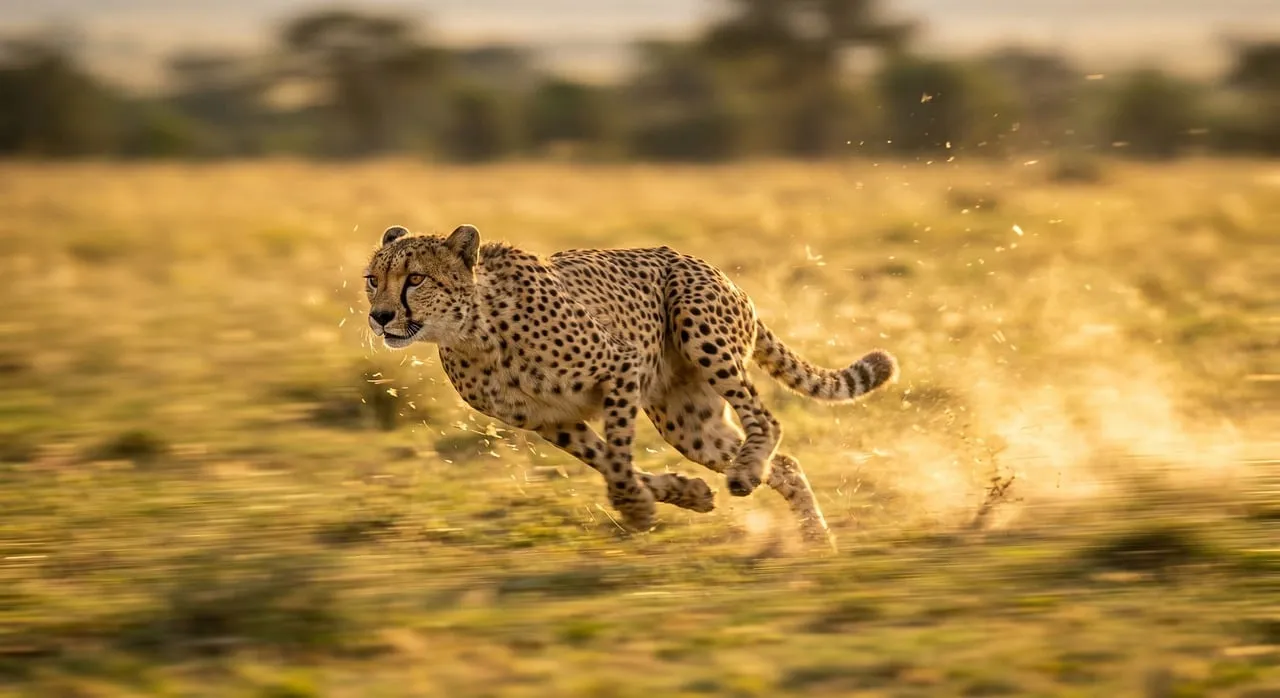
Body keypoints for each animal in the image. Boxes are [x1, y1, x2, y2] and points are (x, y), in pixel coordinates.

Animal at [363, 224, 899, 548]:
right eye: (372, 279)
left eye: (415, 279)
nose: (380, 316)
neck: (474, 331)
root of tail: (717, 271)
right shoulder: (550, 422)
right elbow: (606, 460)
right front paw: (684, 493)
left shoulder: (622, 368)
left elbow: (619, 458)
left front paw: (638, 508)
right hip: (688, 423)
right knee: (781, 460)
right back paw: (815, 539)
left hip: (701, 330)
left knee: (766, 419)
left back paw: (750, 473)